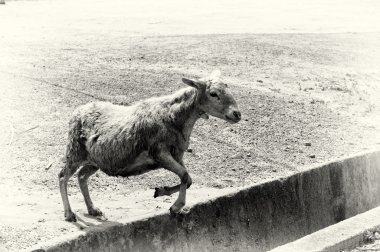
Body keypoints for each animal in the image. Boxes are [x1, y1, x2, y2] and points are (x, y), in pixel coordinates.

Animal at [58, 70, 242, 221]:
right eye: (213, 94)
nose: (237, 114)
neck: (173, 117)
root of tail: (78, 111)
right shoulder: (160, 153)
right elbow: (184, 176)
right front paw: (176, 206)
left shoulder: (177, 155)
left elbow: (188, 179)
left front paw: (161, 191)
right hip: (75, 151)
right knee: (62, 176)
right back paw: (69, 214)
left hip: (95, 160)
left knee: (82, 177)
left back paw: (92, 209)